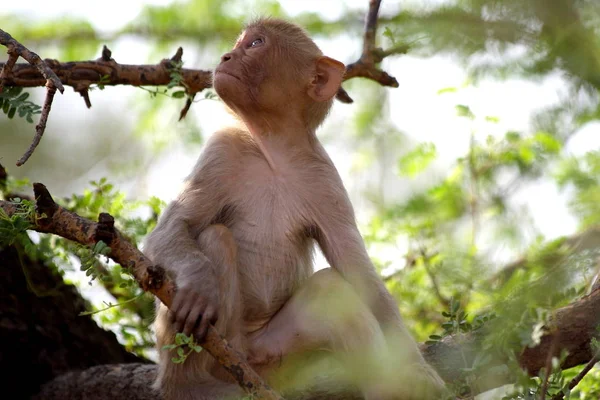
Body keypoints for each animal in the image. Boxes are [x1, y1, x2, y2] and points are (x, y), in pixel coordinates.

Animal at [144, 17, 446, 398]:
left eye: (255, 44)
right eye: (241, 43)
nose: (226, 57)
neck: (274, 153)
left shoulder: (324, 180)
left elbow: (358, 275)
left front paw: (415, 367)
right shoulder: (222, 152)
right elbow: (170, 230)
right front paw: (199, 286)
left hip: (272, 361)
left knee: (329, 291)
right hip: (201, 352)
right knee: (215, 237)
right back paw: (195, 383)